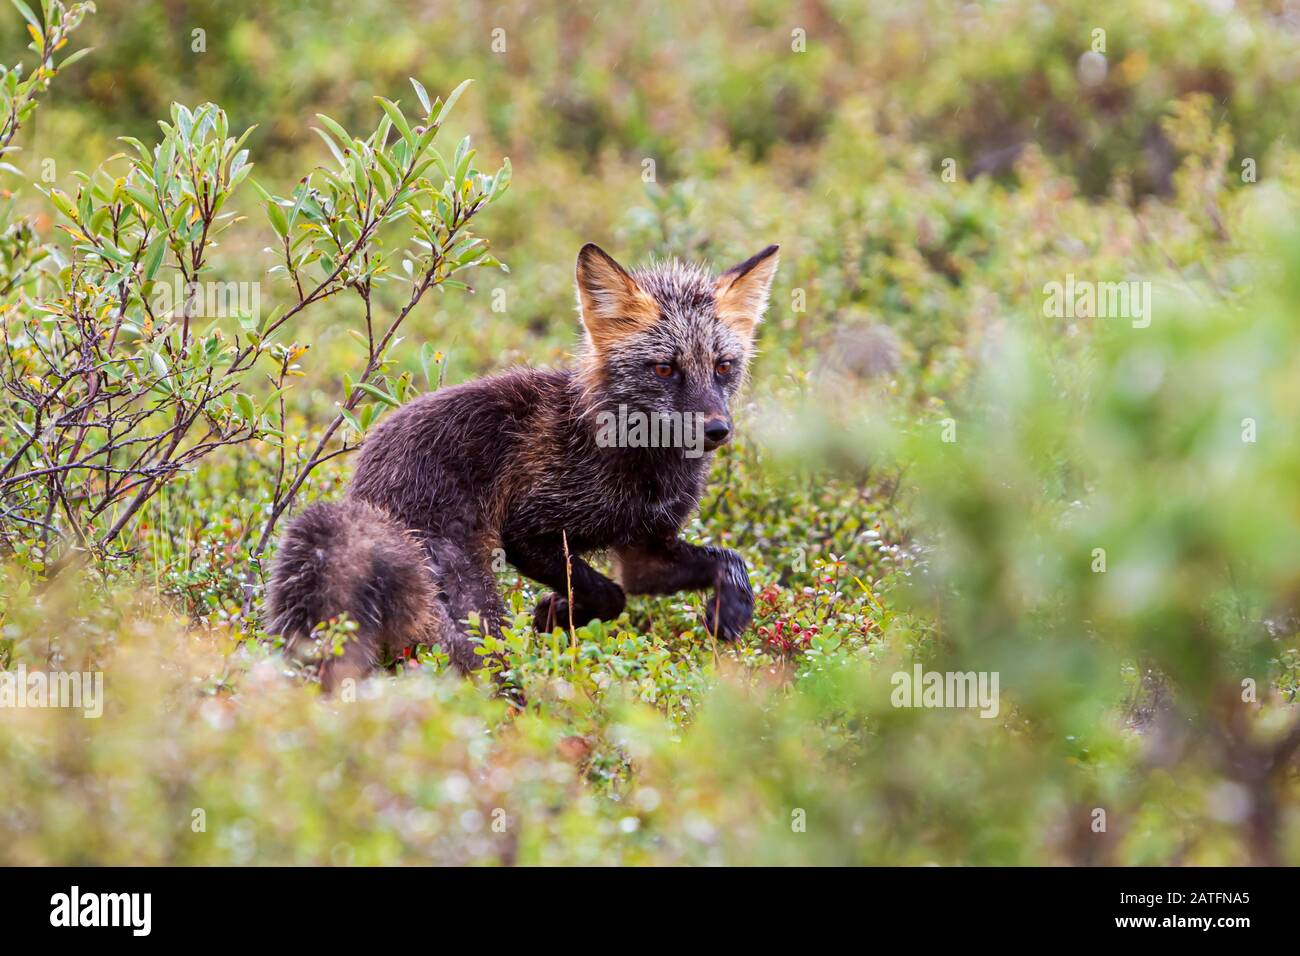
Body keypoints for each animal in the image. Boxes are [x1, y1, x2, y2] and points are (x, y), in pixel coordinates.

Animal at [260, 238, 774, 686]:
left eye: (723, 366)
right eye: (665, 368)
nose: (717, 430)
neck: (639, 465)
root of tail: (366, 498)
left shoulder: (645, 548)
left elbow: (723, 562)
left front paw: (731, 610)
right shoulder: (529, 530)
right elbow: (609, 594)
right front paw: (557, 612)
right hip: (474, 606)